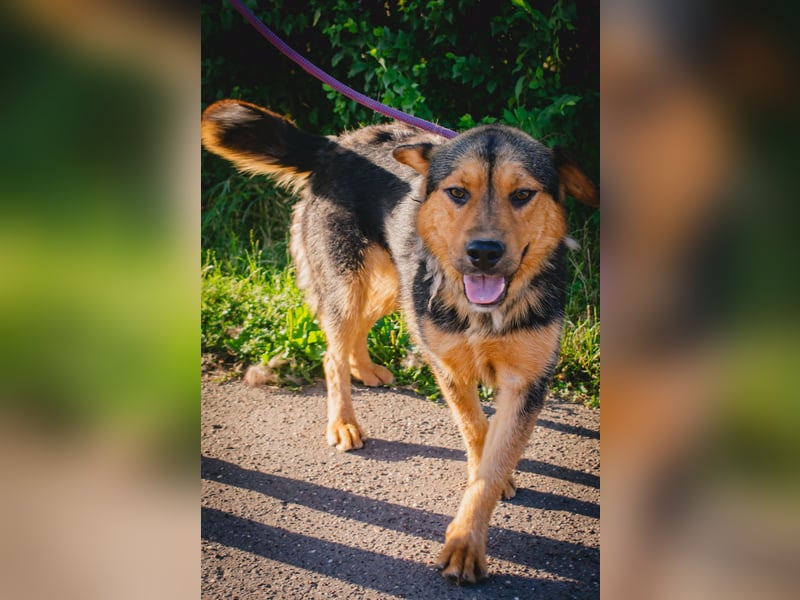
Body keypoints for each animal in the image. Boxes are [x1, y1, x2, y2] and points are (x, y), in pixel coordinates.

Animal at [201, 99, 598, 583]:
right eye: (457, 193)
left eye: (522, 195)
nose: (483, 253)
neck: (485, 312)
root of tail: (337, 145)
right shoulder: (449, 367)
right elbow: (477, 434)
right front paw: (470, 531)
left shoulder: (527, 382)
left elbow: (493, 454)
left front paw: (470, 532)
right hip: (350, 284)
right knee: (332, 353)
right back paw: (343, 421)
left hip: (396, 286)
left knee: (356, 333)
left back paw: (366, 369)